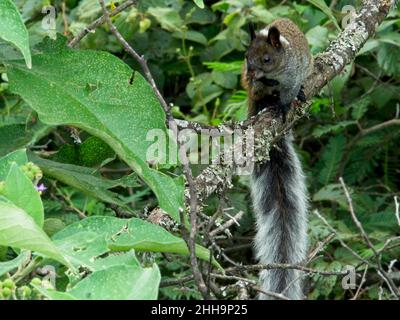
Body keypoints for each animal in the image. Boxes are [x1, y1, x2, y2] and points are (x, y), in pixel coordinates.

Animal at [241, 18, 312, 298]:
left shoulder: (292, 75)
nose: (251, 72)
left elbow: (289, 92)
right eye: (246, 56)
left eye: (267, 58)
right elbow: (264, 89)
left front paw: (285, 102)